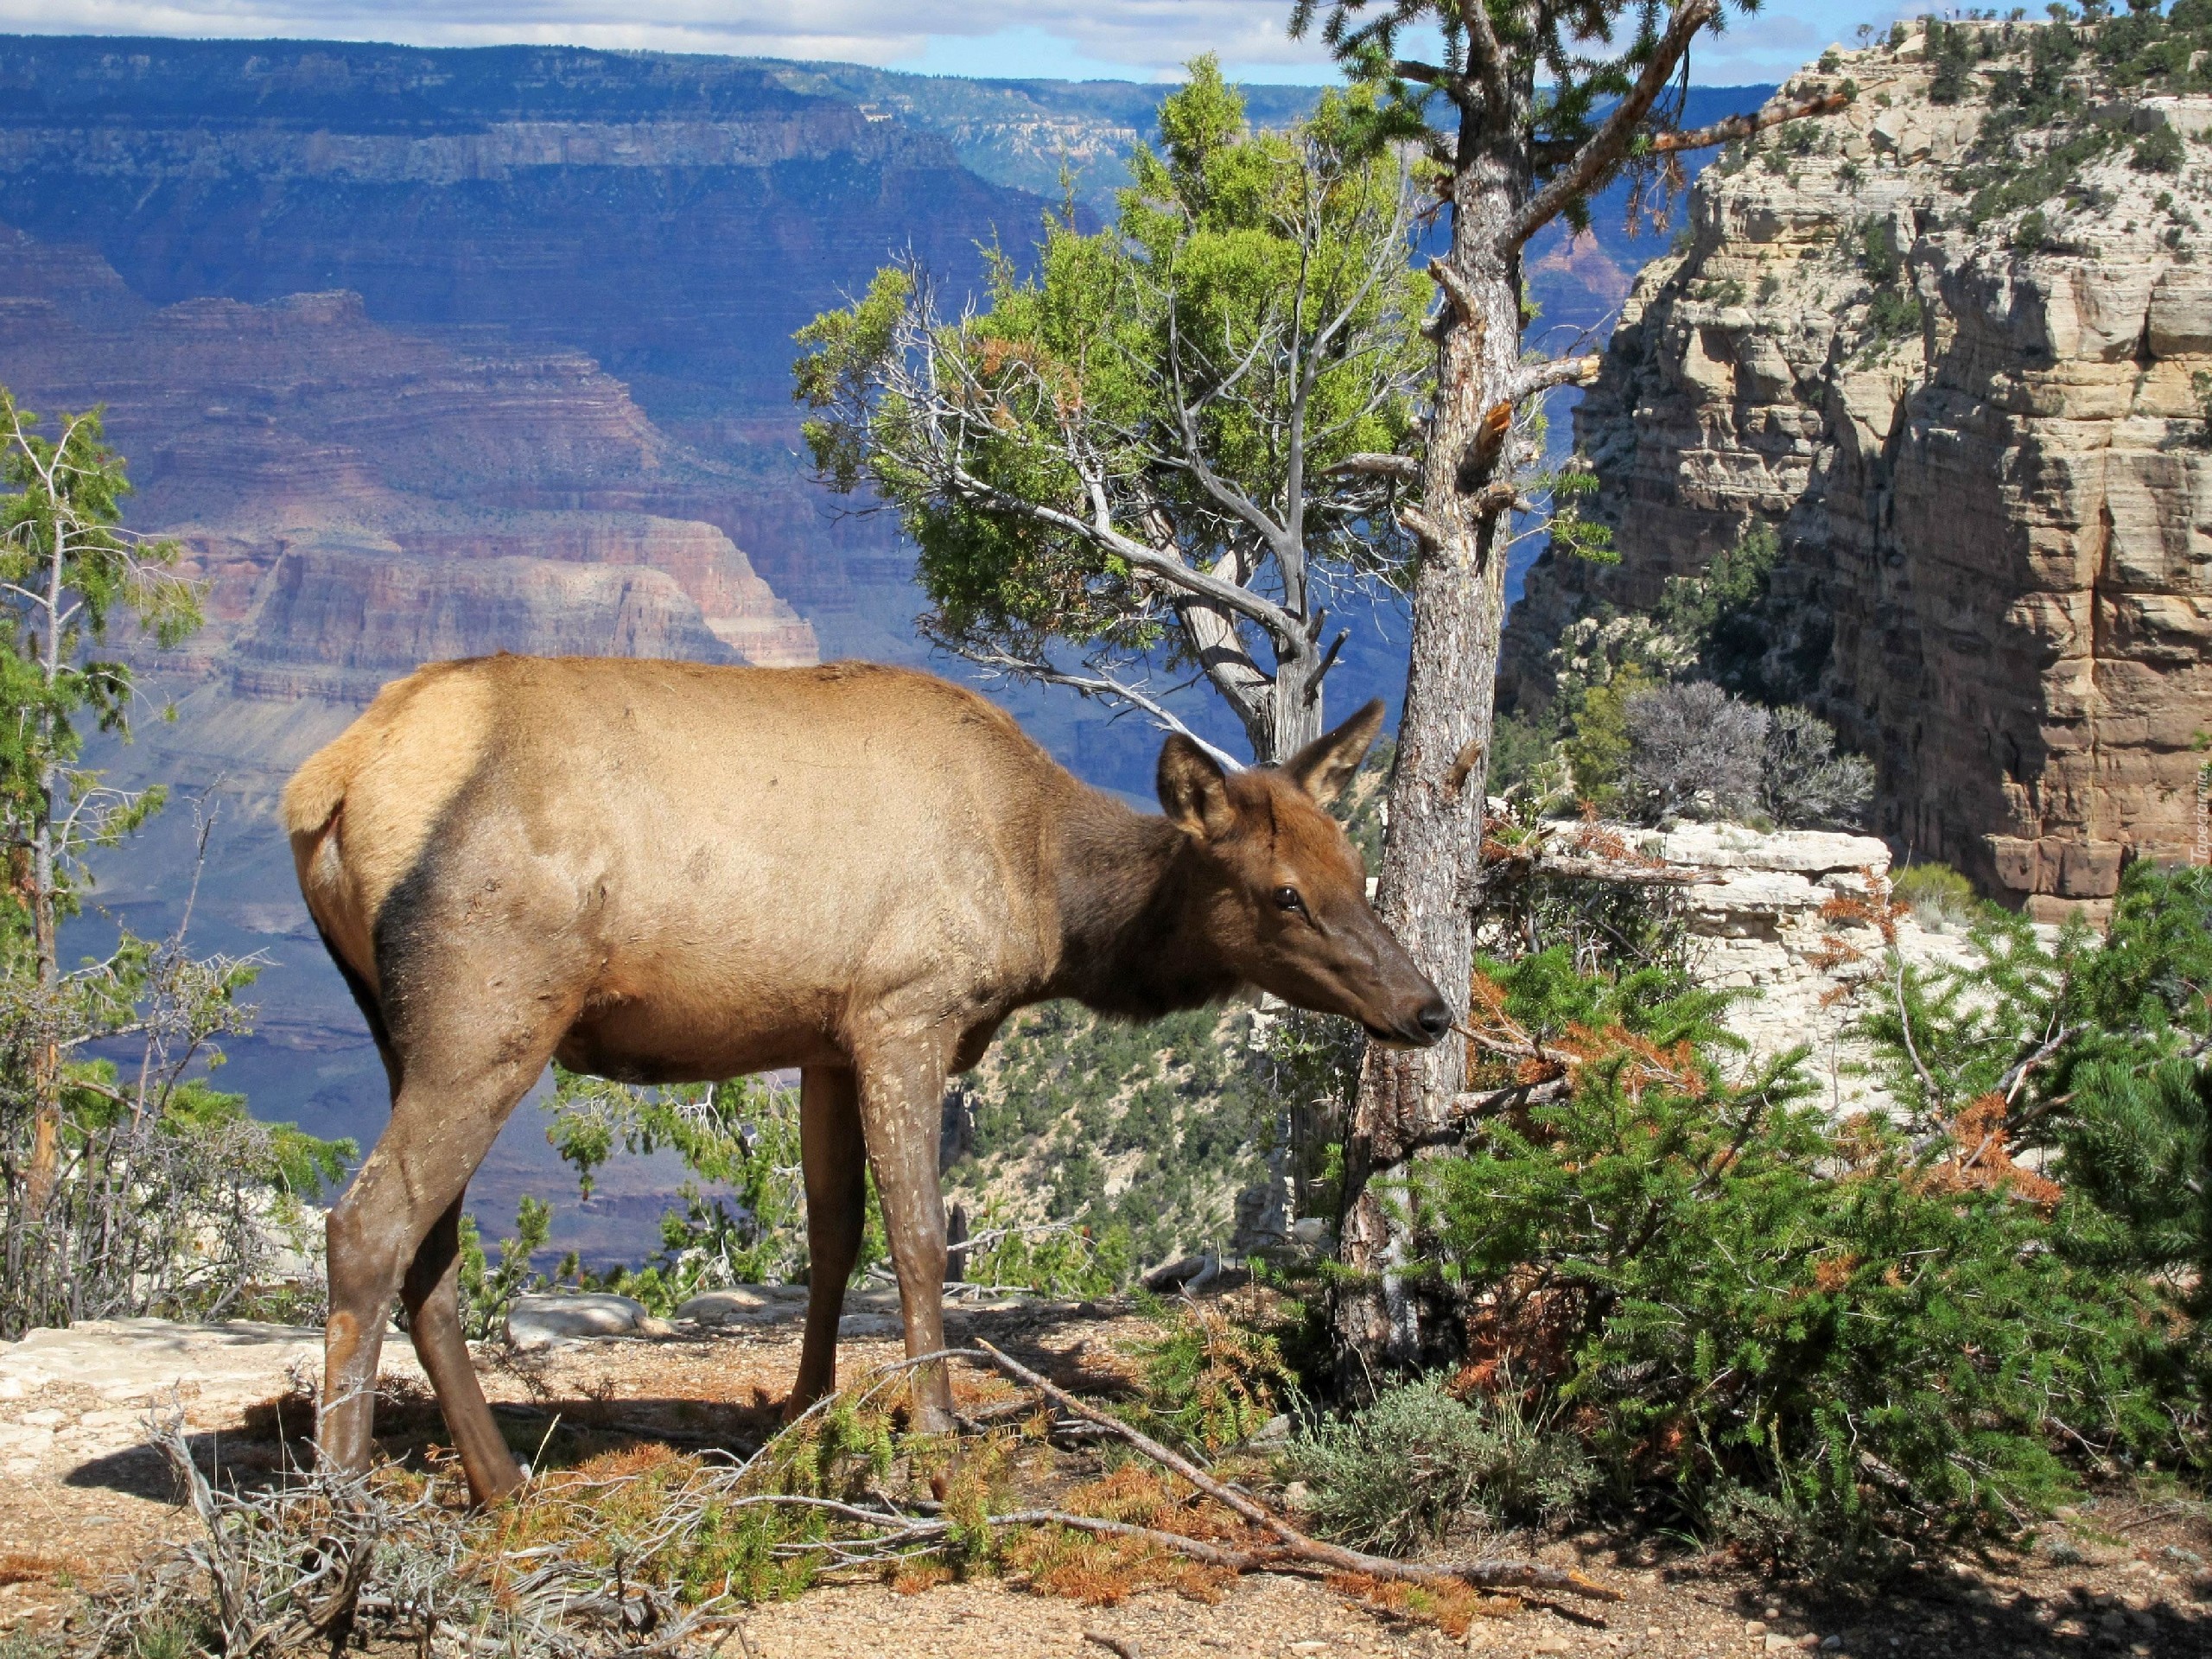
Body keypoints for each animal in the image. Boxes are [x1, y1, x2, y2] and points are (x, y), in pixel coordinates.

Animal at [285, 654, 1451, 1513]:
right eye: (1283, 893)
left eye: (1357, 867)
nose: (1428, 1009)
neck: (1051, 906)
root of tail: (326, 788)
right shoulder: (904, 1010)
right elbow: (921, 1234)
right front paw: (935, 1427)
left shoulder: (823, 1038)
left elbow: (833, 1232)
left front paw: (805, 1410)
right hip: (489, 1005)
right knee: (368, 1222)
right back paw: (344, 1510)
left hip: (400, 1022)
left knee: (429, 1245)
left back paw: (501, 1482)